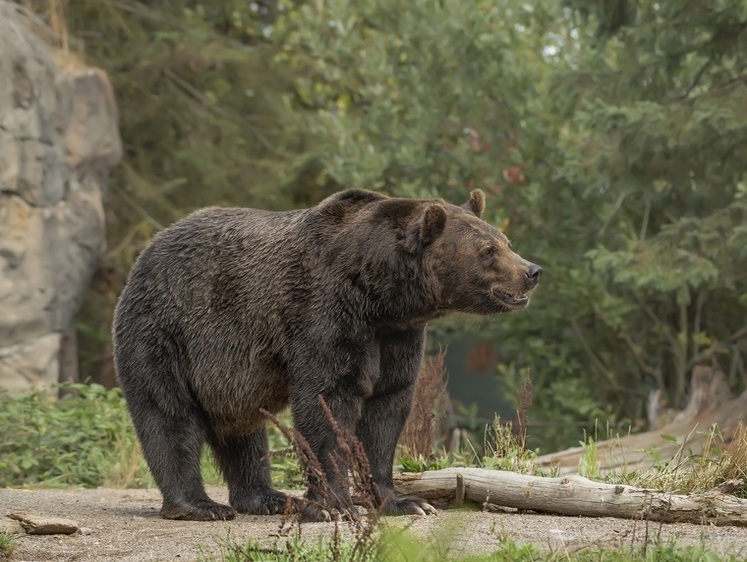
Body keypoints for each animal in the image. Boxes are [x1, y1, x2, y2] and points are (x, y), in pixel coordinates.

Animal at [112, 188, 544, 520]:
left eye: (505, 241)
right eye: (487, 251)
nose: (532, 270)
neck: (380, 294)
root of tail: (147, 251)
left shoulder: (397, 336)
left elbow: (387, 409)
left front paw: (404, 501)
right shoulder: (326, 313)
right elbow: (327, 402)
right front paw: (333, 505)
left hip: (228, 373)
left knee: (244, 432)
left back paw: (267, 498)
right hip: (166, 332)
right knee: (169, 415)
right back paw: (200, 506)